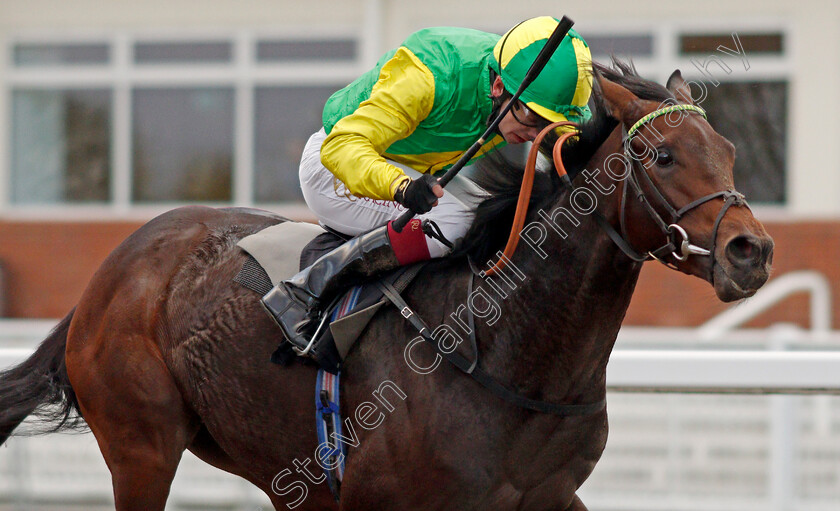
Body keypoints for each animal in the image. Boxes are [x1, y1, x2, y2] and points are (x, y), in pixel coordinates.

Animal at [0, 61, 776, 511]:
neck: (508, 351)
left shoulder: (548, 496)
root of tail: (107, 275)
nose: (751, 251)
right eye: (661, 154)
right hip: (143, 447)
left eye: (729, 150)